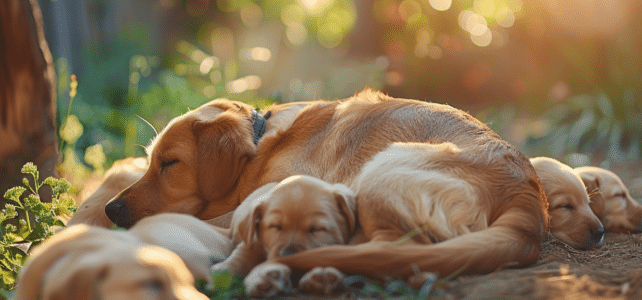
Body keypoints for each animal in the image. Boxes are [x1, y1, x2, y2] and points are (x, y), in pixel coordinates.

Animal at [214, 175, 356, 296]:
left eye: (316, 229)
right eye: (276, 226)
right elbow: (242, 256)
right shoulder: (253, 240)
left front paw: (322, 273)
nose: (289, 256)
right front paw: (224, 269)